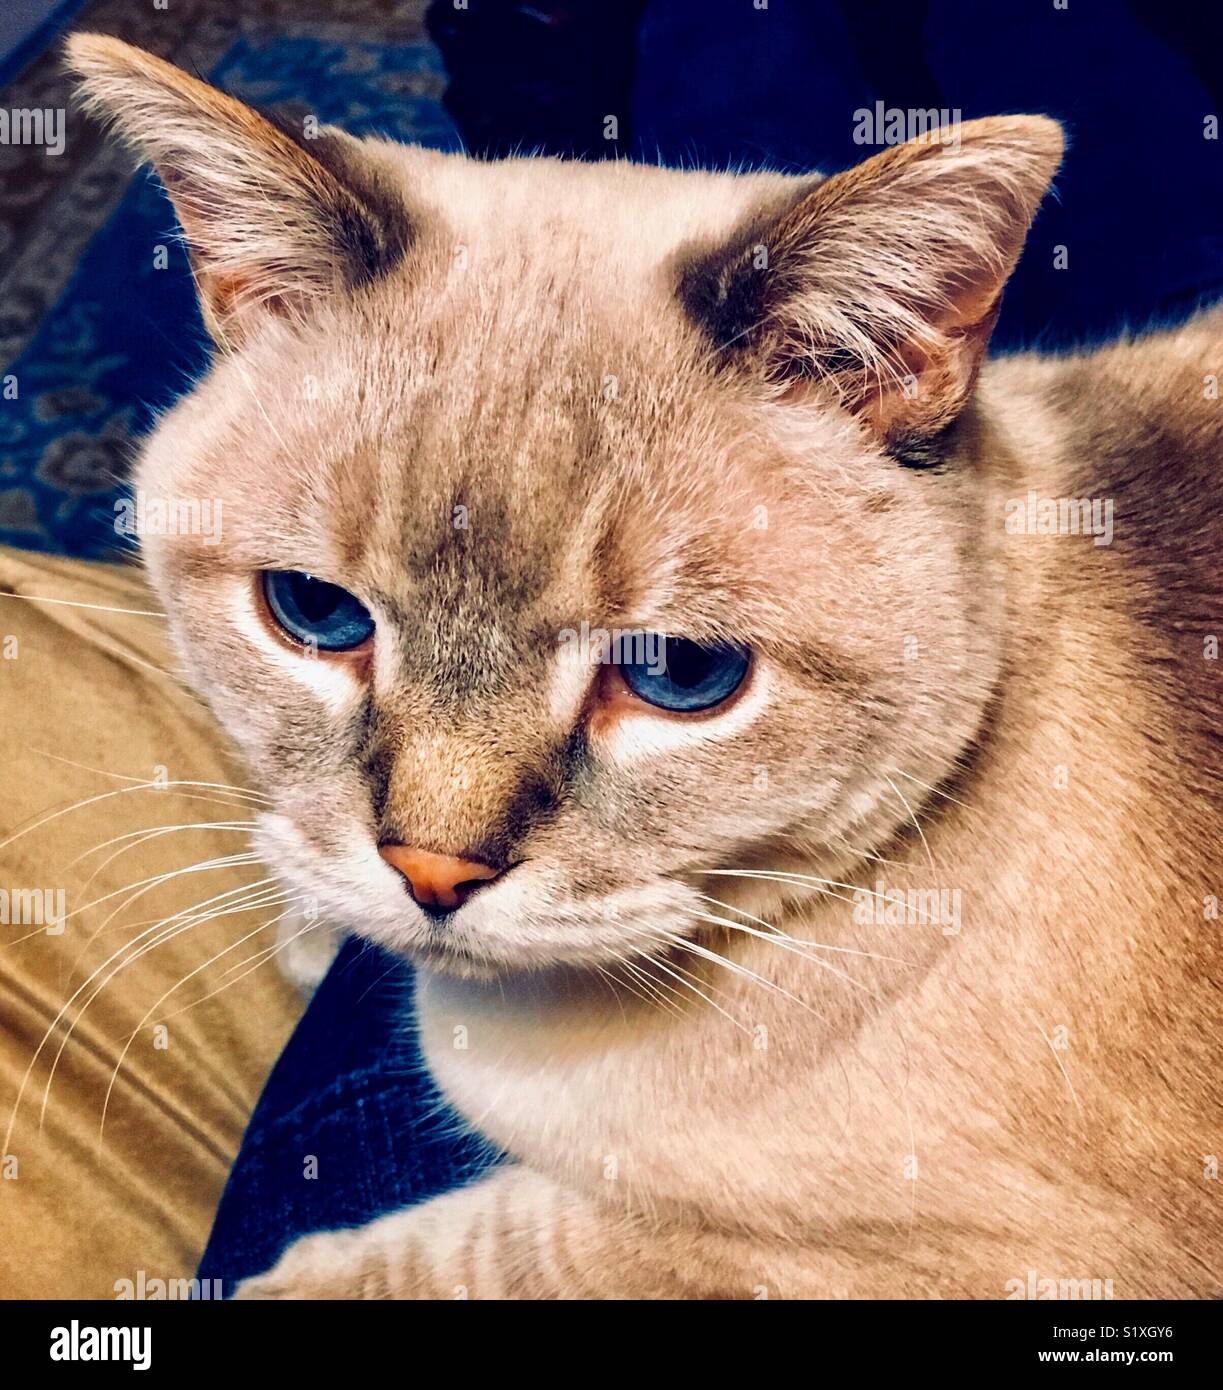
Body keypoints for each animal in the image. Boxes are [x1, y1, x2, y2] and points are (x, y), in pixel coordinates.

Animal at [69, 29, 1223, 1289]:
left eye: (676, 675)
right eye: (316, 614)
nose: (429, 874)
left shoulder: (963, 1255)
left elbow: (491, 1245)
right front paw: (314, 918)